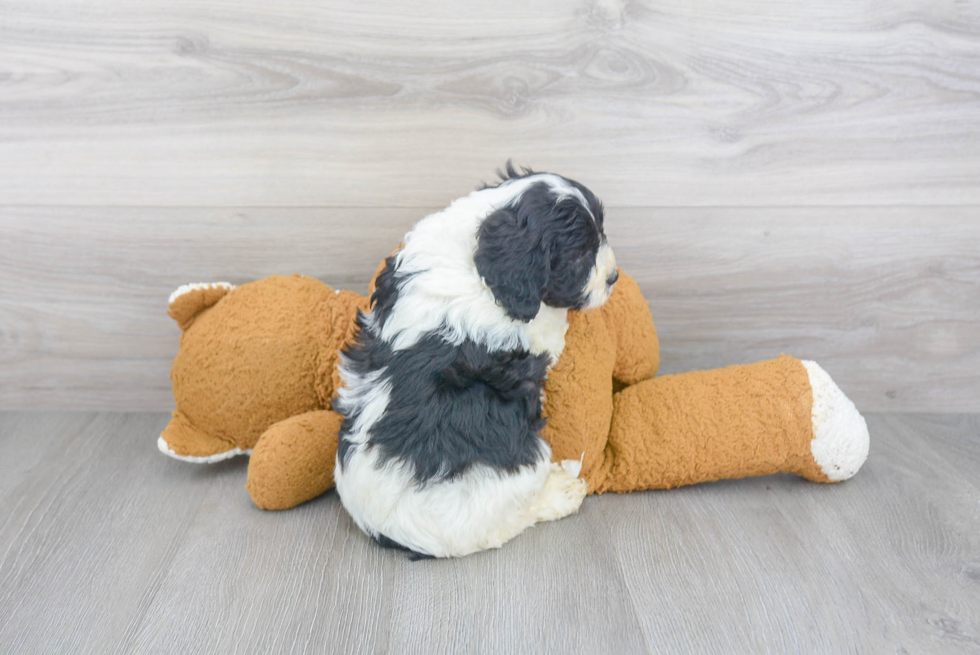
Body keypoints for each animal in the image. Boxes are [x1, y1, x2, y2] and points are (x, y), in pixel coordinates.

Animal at [334, 165, 616, 560]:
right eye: (578, 257)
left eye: (602, 233)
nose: (614, 278)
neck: (476, 258)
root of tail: (391, 533)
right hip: (520, 467)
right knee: (511, 518)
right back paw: (560, 493)